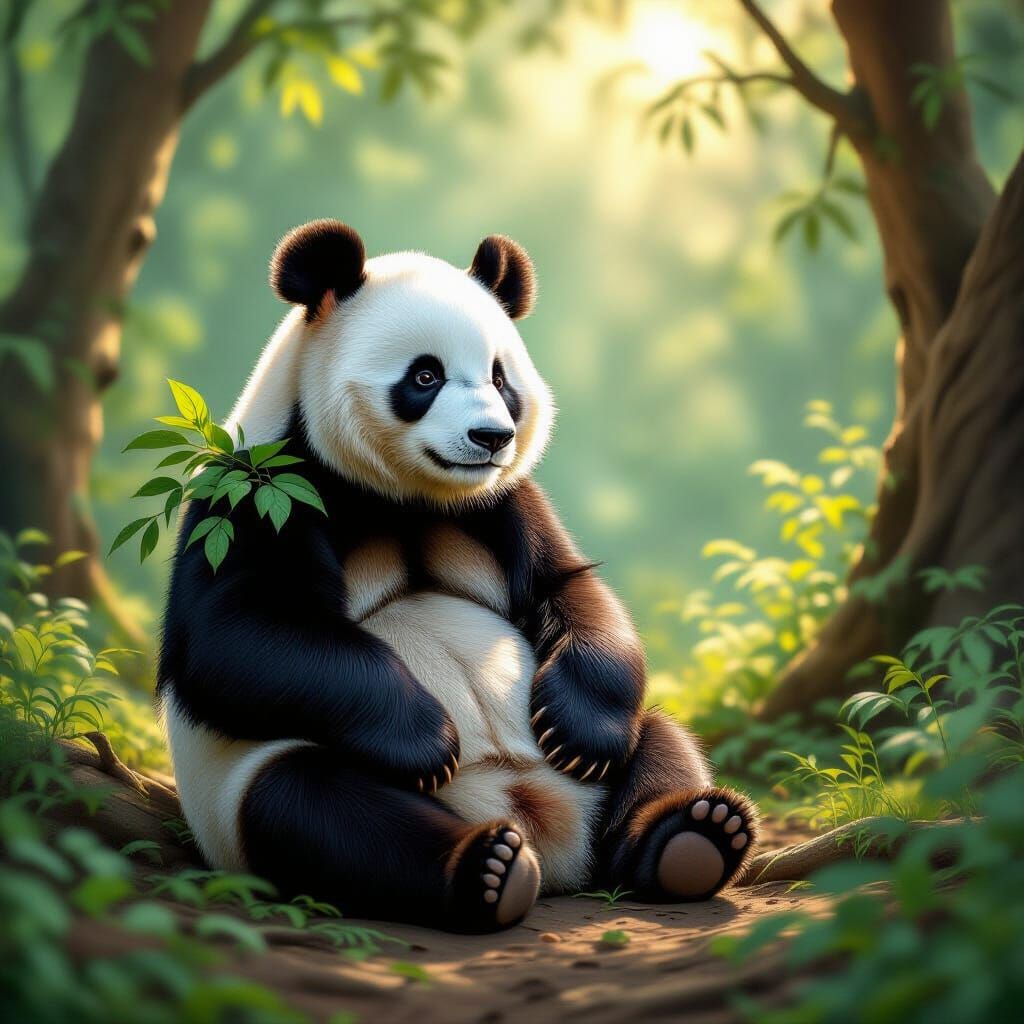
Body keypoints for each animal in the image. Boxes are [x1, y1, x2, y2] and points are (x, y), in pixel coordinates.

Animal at [159, 220, 757, 933]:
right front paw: (423, 739)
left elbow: (568, 588)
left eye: (501, 378)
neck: (404, 493)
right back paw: (487, 870)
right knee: (320, 807)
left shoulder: (501, 501)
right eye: (425, 375)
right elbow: (236, 635)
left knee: (659, 738)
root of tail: (553, 843)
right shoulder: (262, 489)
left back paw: (692, 836)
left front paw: (576, 729)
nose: (491, 436)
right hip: (243, 796)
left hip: (606, 772)